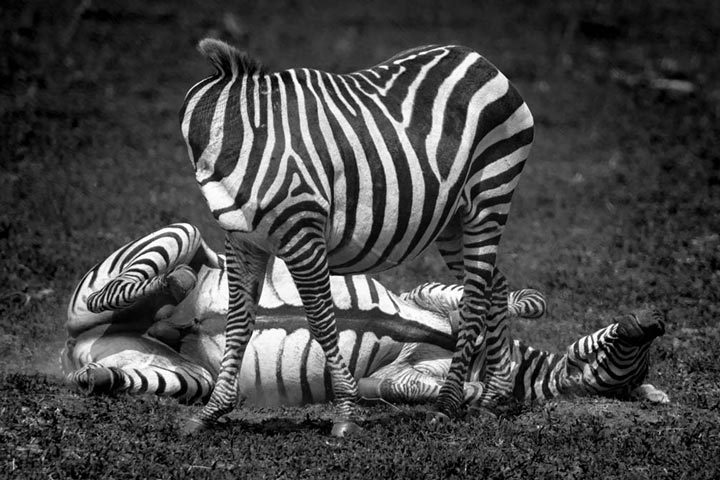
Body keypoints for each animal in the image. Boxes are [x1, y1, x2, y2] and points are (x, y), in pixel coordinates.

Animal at [62, 224, 669, 413]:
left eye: (630, 357)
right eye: (618, 343)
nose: (656, 318)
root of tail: (75, 345)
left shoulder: (390, 382)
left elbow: (432, 388)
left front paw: (485, 393)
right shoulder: (427, 293)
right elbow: (505, 302)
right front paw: (520, 305)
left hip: (183, 375)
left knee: (119, 370)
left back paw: (100, 371)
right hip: (177, 239)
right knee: (121, 288)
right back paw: (173, 286)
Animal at [179, 39, 535, 435]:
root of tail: (477, 58)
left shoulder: (304, 234)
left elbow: (321, 321)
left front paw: (346, 412)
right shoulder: (243, 241)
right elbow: (238, 322)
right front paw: (211, 410)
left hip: (489, 197)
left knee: (474, 298)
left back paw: (446, 404)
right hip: (453, 221)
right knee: (494, 285)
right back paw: (493, 397)